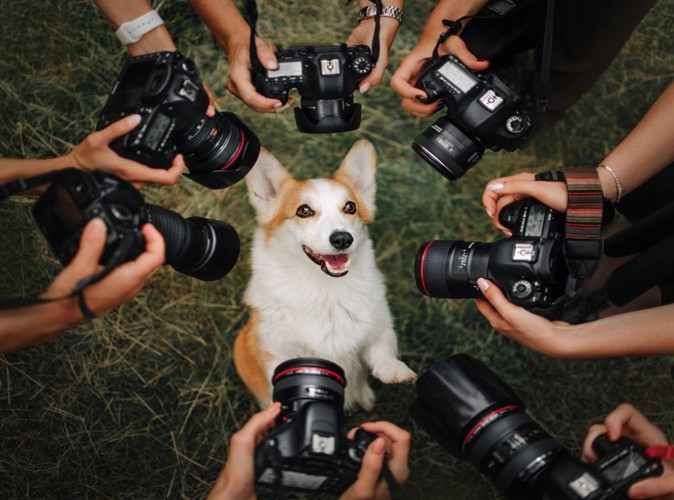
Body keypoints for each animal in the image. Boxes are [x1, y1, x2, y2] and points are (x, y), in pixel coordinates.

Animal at [235, 138, 414, 410]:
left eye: (350, 207)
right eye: (304, 211)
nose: (343, 239)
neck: (325, 288)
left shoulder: (379, 328)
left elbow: (381, 349)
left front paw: (395, 370)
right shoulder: (277, 351)